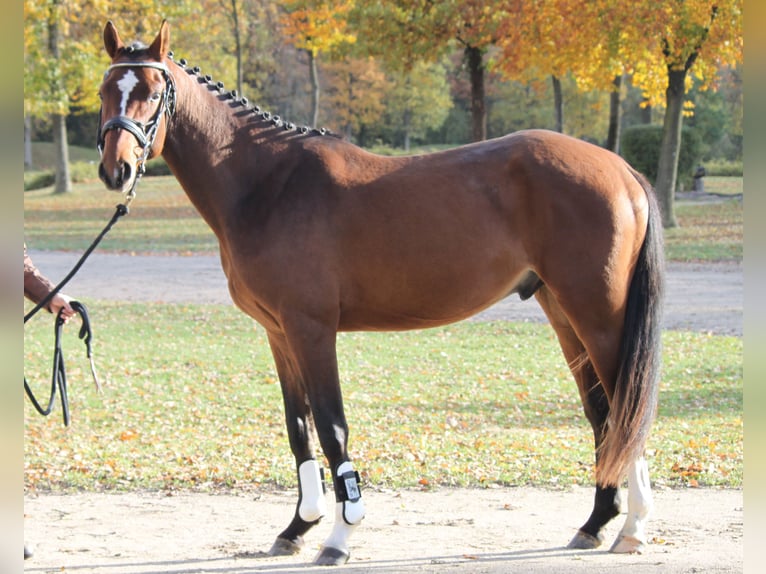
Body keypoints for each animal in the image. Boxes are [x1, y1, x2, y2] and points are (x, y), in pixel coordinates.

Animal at [97, 20, 664, 565]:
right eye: (105, 90)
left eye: (151, 92)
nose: (115, 169)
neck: (269, 184)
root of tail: (622, 169)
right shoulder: (279, 334)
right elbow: (299, 427)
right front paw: (297, 527)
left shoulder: (311, 329)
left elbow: (331, 428)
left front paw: (339, 537)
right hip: (563, 312)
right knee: (604, 415)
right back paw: (596, 523)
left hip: (599, 316)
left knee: (626, 406)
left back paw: (634, 529)